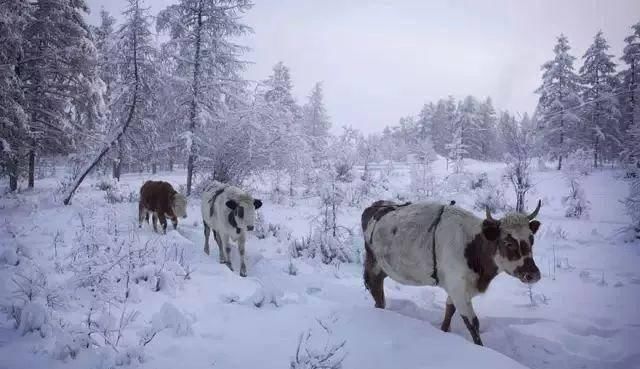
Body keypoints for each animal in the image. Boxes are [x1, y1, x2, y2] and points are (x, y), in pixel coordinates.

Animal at [360, 198, 540, 344]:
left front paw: (444, 332)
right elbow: (473, 324)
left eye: (531, 239)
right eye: (508, 242)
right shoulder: (458, 288)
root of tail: (376, 206)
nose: (533, 274)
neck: (472, 246)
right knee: (376, 290)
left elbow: (449, 312)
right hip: (373, 265)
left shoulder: (456, 288)